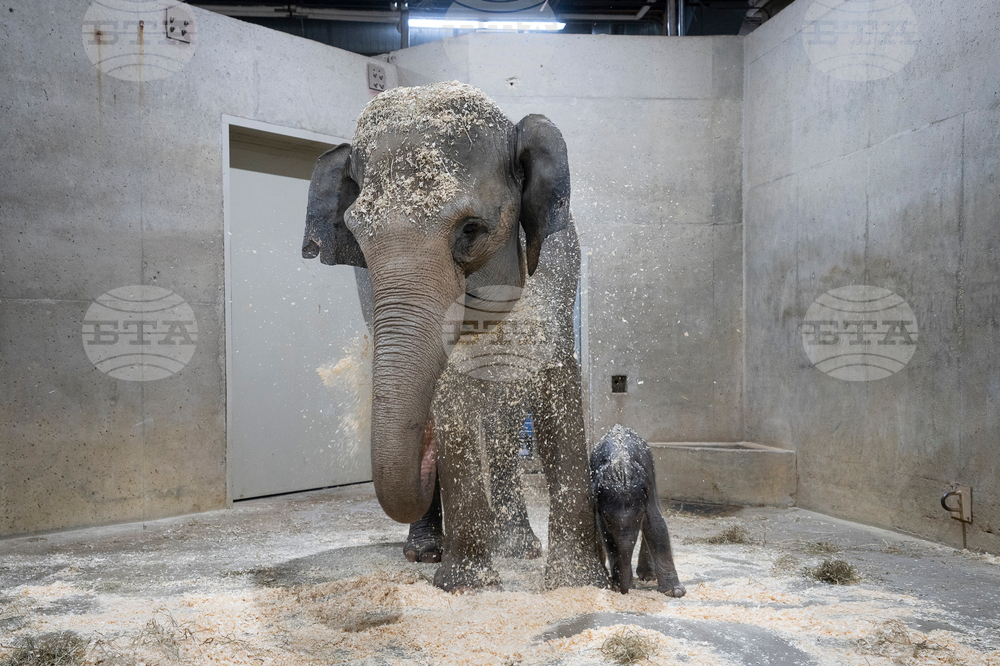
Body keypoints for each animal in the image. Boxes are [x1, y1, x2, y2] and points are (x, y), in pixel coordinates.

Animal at [302, 81, 607, 591]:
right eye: (357, 239)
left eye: (471, 230)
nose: (425, 462)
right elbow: (450, 395)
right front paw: (467, 585)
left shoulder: (559, 271)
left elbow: (554, 380)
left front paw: (580, 584)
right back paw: (427, 551)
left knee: (504, 416)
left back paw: (519, 548)